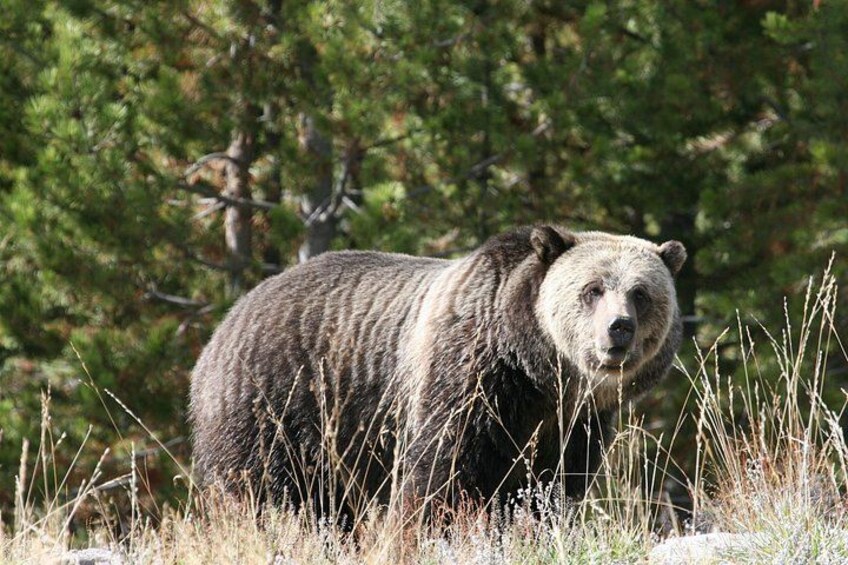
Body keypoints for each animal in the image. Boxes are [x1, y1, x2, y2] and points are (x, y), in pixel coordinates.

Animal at [189, 225, 686, 516]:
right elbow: (442, 474)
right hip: (279, 402)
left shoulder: (571, 424)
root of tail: (230, 317)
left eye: (640, 293)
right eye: (593, 289)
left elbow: (549, 488)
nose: (619, 327)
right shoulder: (467, 379)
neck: (538, 373)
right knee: (268, 493)